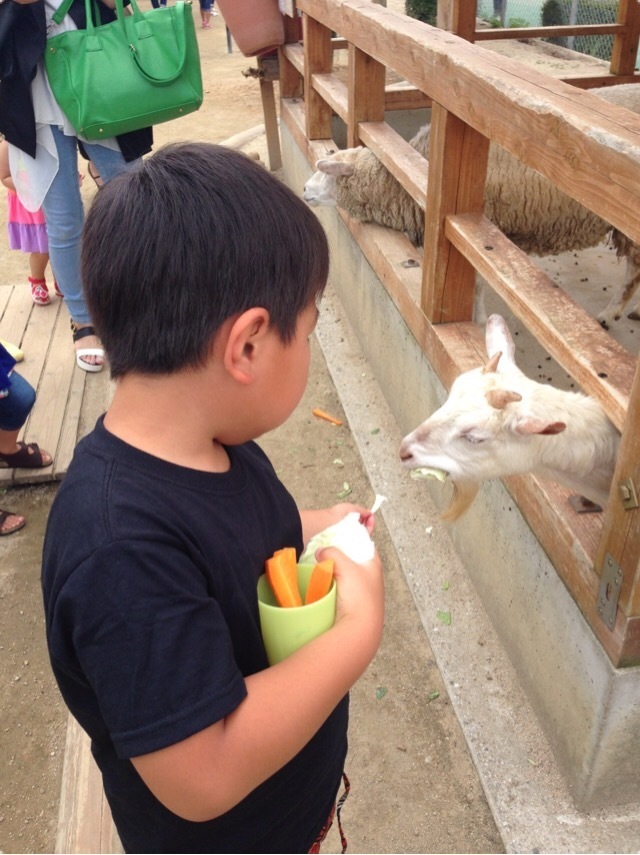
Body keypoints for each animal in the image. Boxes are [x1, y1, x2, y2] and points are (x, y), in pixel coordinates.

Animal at [302, 83, 640, 326]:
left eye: (328, 171)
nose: (304, 189)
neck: (414, 178)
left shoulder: (479, 233)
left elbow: (475, 285)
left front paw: (478, 319)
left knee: (632, 273)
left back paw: (610, 314)